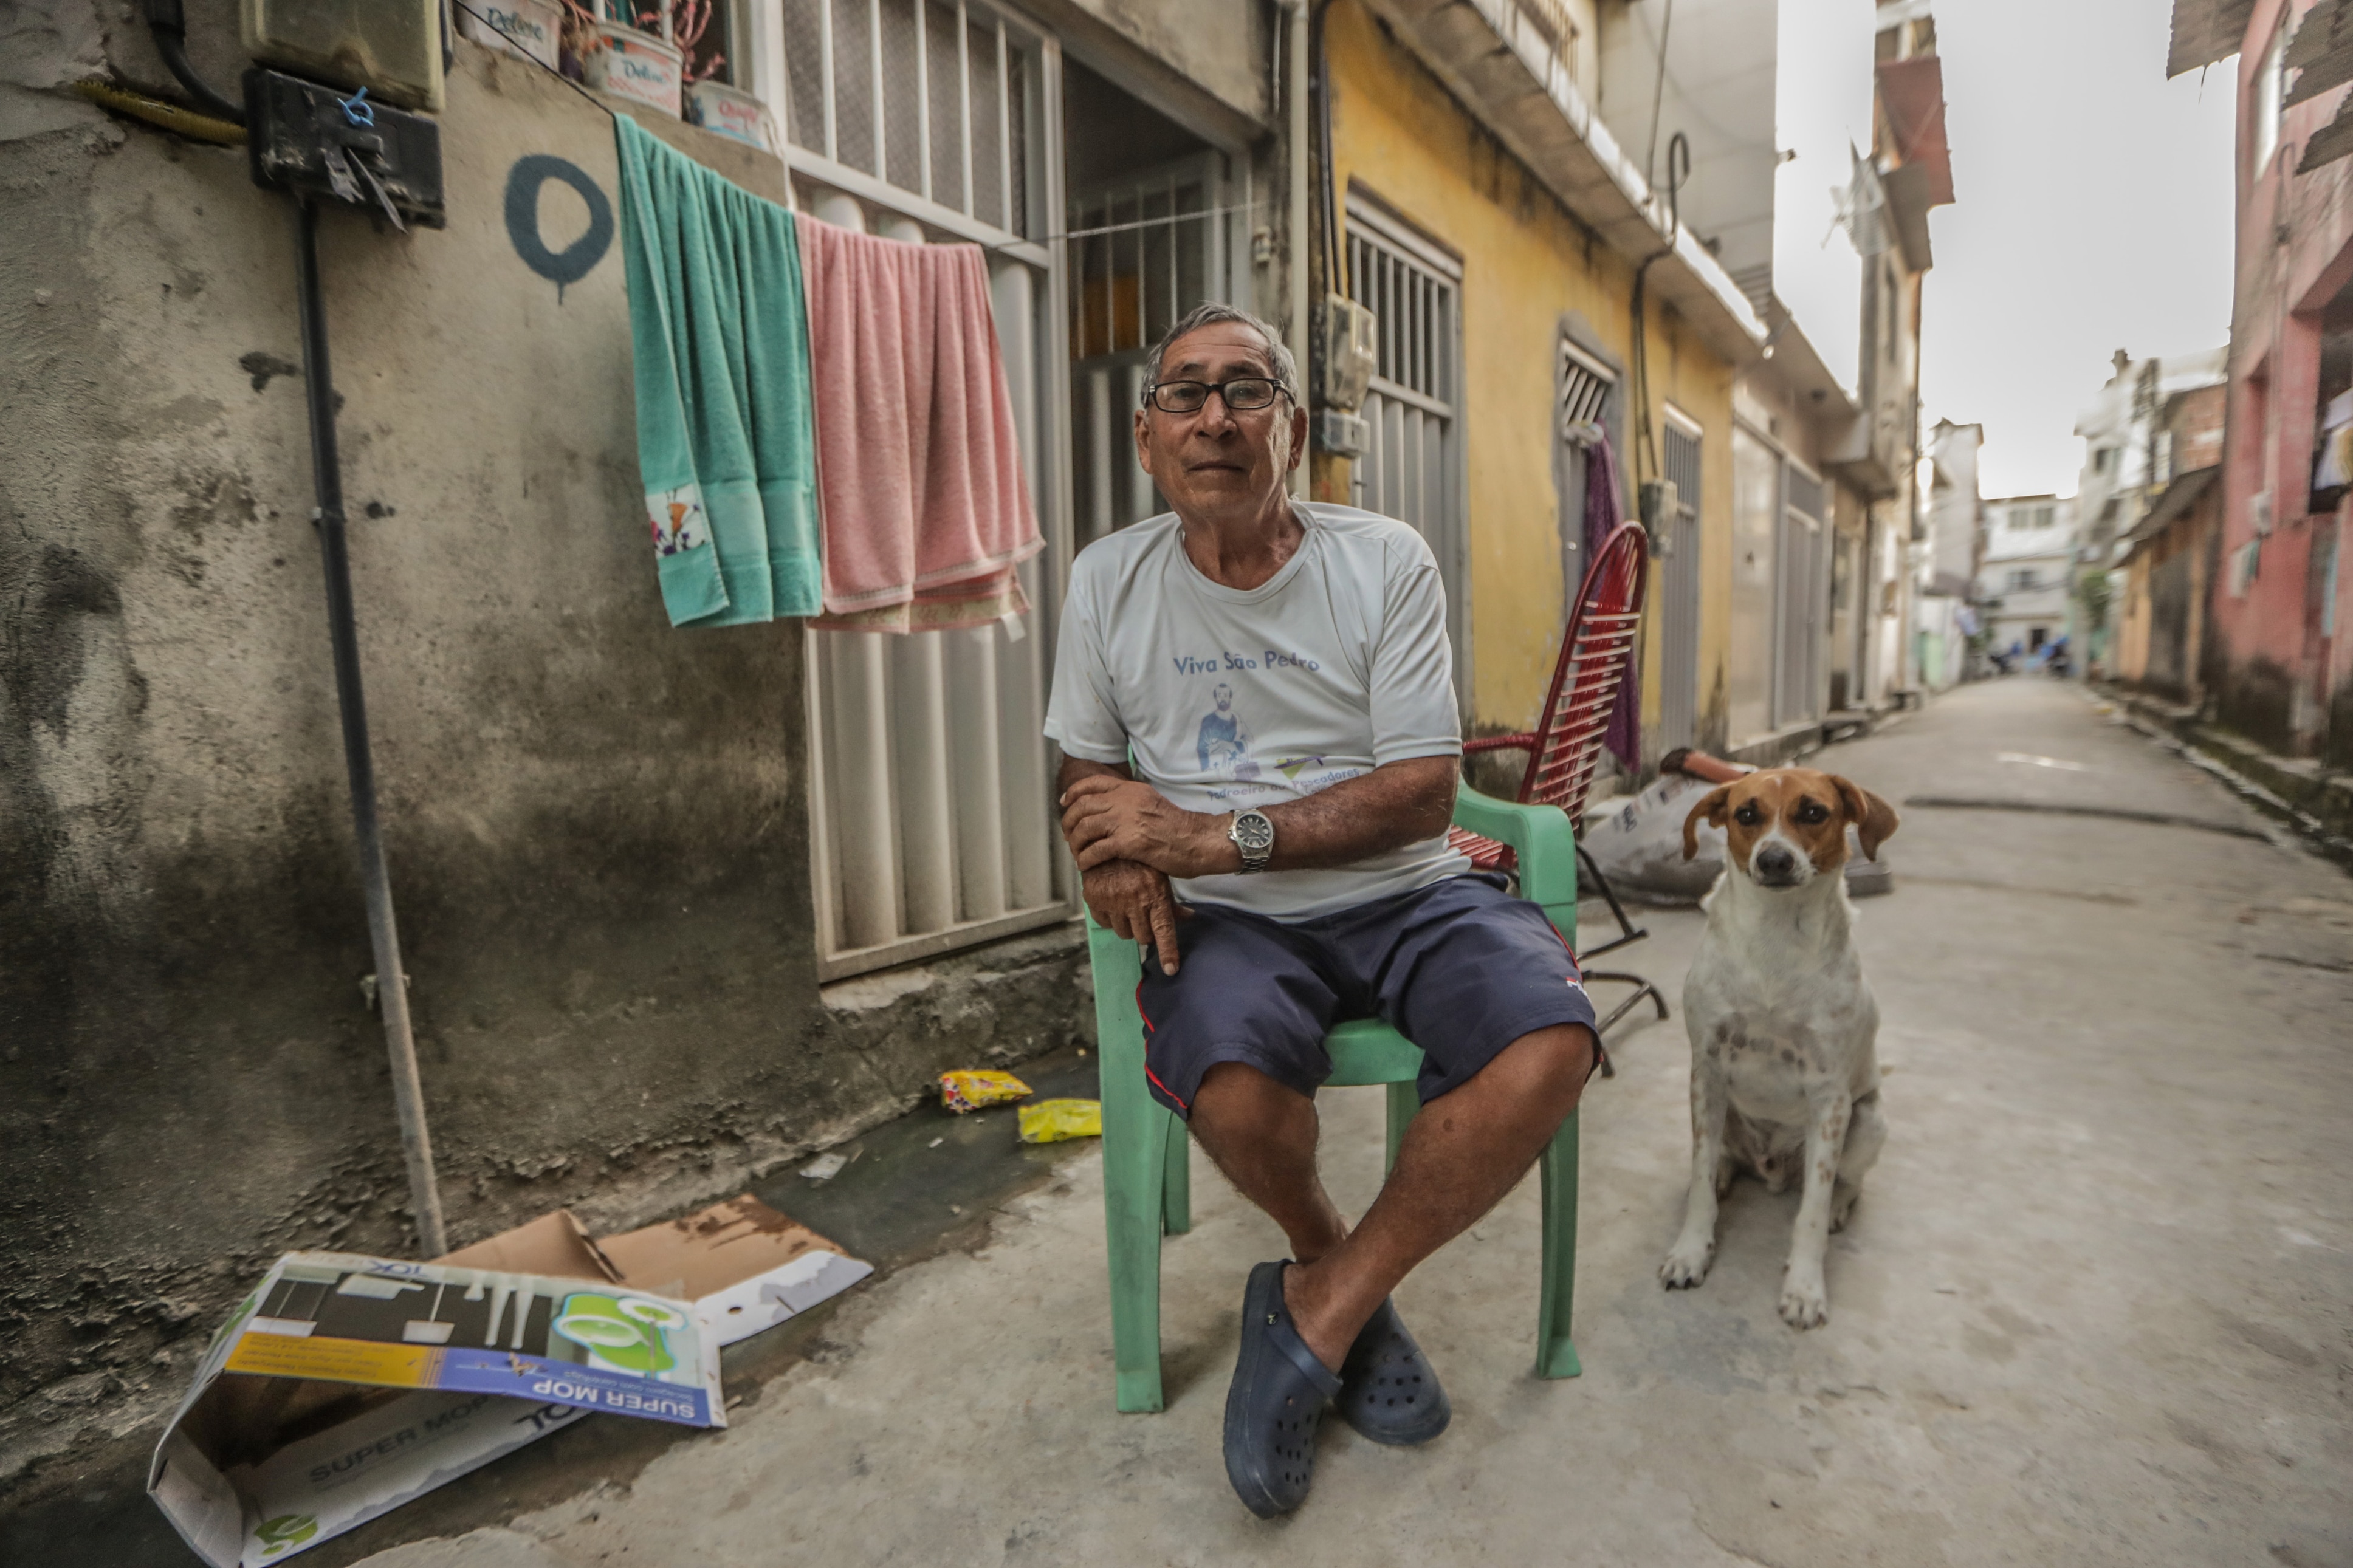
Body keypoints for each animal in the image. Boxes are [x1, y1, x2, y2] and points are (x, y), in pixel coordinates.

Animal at [1666, 766, 1901, 1335]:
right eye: (1746, 813)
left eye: (1813, 812)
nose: (1774, 859)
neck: (1775, 941)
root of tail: (1772, 1170)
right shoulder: (1705, 1069)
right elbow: (1699, 1176)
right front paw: (1691, 1250)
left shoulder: (1830, 1097)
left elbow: (1811, 1209)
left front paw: (1805, 1288)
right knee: (1718, 1157)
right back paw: (1724, 1173)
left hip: (1868, 1119)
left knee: (1846, 1182)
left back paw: (1839, 1206)